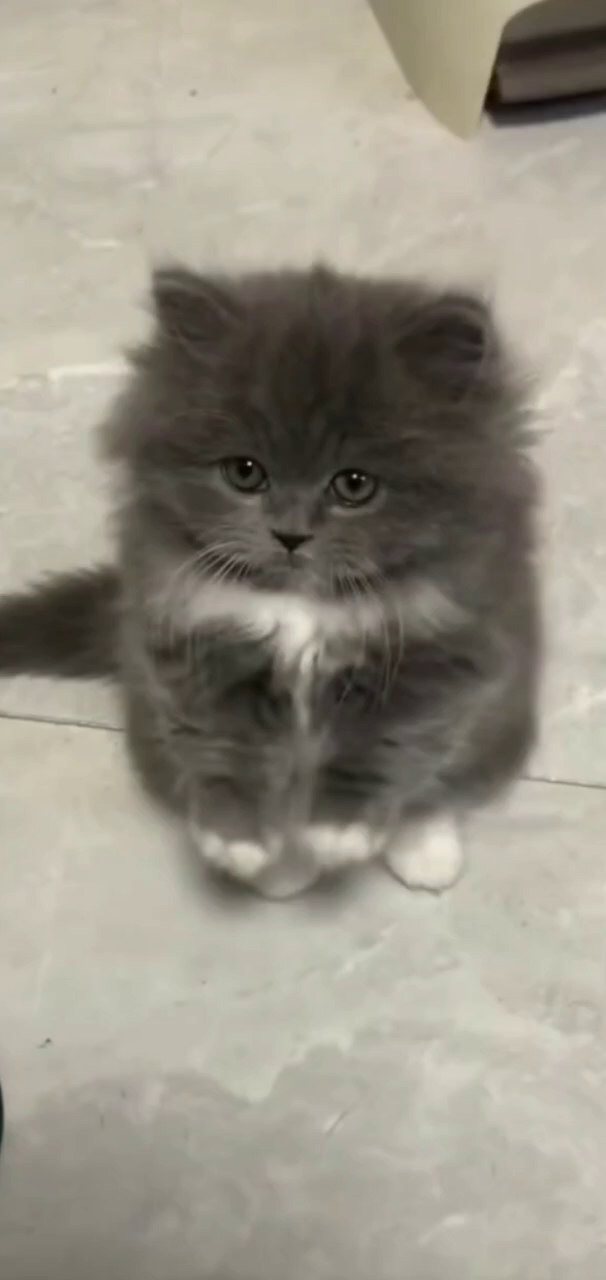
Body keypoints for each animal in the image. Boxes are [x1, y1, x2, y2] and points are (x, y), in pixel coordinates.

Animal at [0, 265, 540, 898]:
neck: (304, 605)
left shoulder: (442, 647)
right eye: (245, 473)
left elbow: (390, 745)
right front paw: (240, 841)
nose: (290, 535)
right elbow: (224, 746)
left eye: (354, 485)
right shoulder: (195, 637)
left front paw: (339, 832)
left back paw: (423, 851)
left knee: (439, 779)